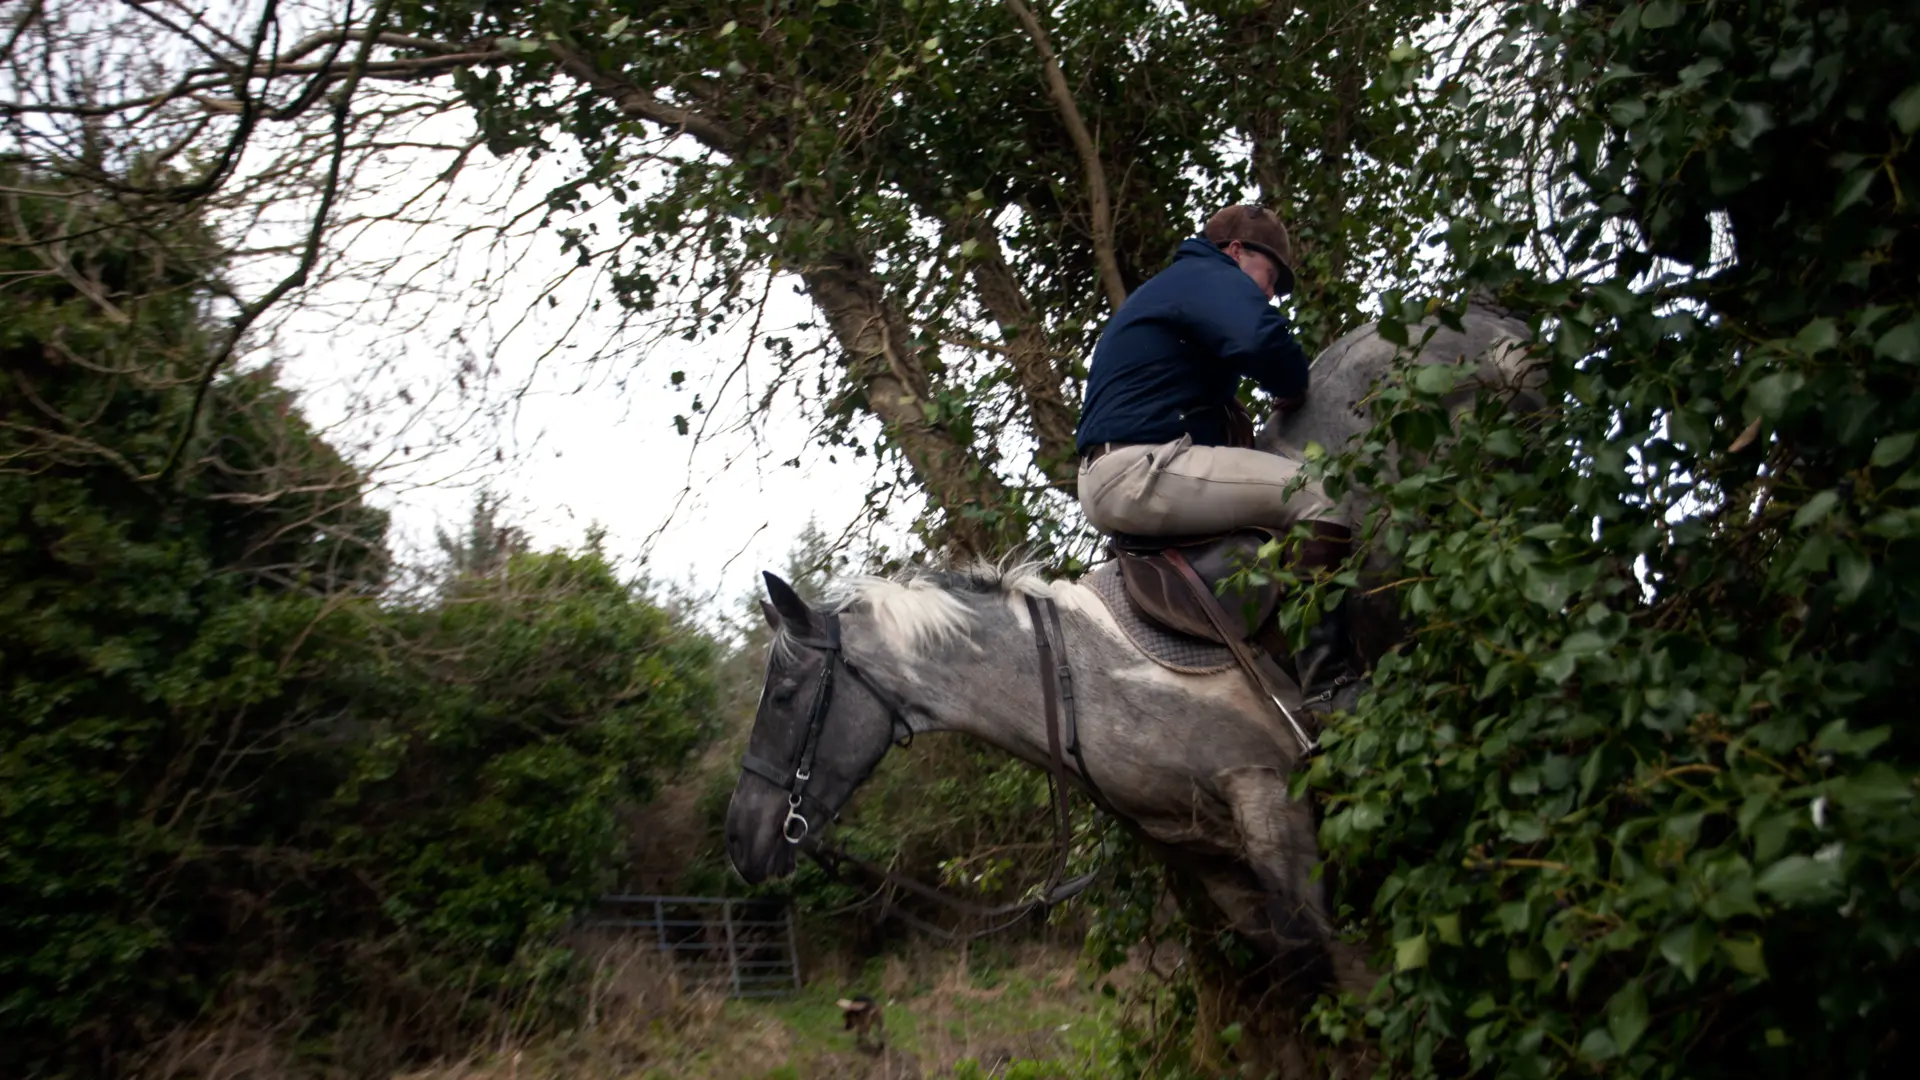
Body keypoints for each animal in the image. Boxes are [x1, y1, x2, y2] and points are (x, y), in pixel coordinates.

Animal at [721, 299, 1543, 983]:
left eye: (785, 694)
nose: (741, 843)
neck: (1070, 680)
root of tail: (1476, 316)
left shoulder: (1267, 795)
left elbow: (1338, 962)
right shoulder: (1212, 854)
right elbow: (1295, 957)